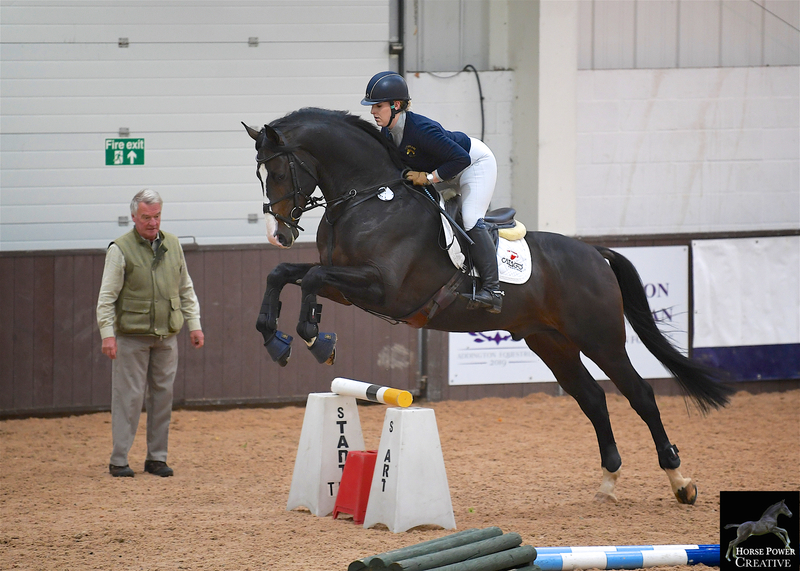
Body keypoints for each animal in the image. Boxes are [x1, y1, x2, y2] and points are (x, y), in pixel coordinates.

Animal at [242, 107, 733, 505]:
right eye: (262, 176)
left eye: (279, 171)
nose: (277, 233)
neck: (369, 196)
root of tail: (595, 253)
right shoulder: (347, 282)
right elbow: (284, 273)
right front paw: (275, 338)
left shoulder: (383, 287)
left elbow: (309, 279)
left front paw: (315, 339)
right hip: (550, 342)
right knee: (592, 398)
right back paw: (609, 482)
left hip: (600, 339)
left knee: (640, 395)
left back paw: (680, 482)